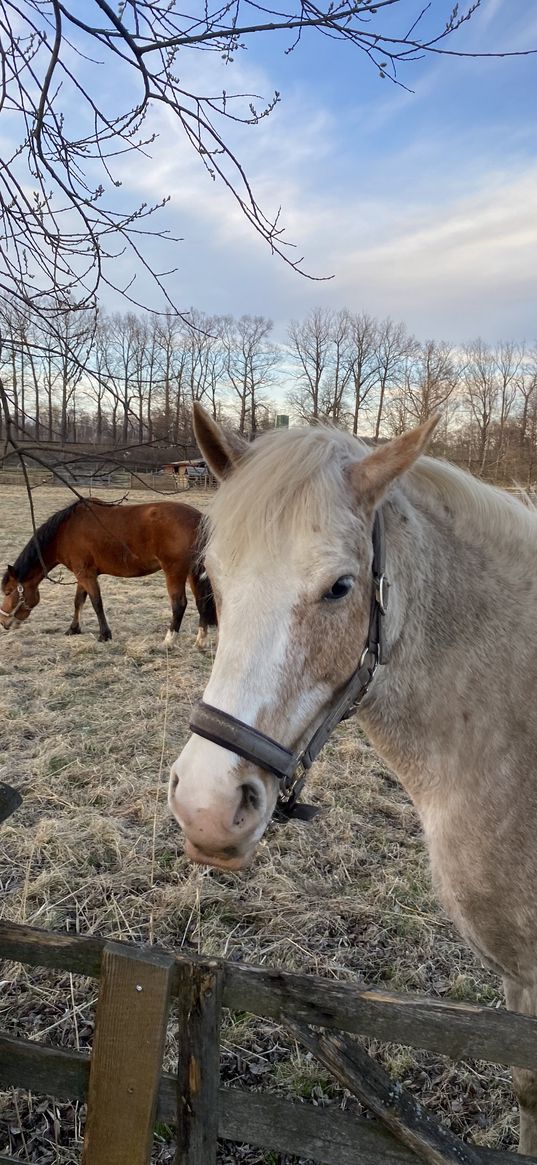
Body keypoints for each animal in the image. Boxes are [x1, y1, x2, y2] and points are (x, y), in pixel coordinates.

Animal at [2, 498, 215, 652]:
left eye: (8, 591)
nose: (4, 623)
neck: (65, 532)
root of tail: (198, 519)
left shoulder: (86, 575)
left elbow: (97, 603)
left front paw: (104, 635)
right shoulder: (82, 575)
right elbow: (78, 601)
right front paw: (73, 629)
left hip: (174, 572)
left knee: (179, 605)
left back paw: (168, 642)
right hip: (193, 572)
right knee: (201, 603)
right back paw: (200, 642)